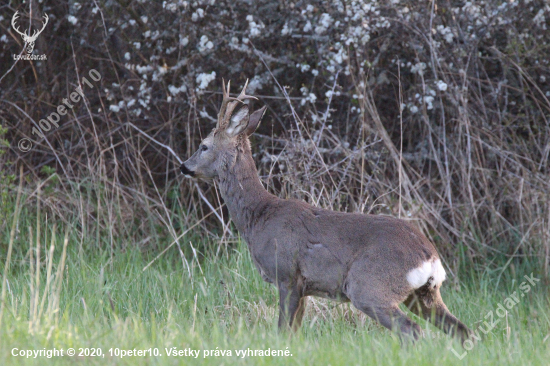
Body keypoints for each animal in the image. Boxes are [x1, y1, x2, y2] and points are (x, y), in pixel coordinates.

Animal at [182, 80, 474, 344]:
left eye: (204, 145)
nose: (185, 166)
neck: (259, 216)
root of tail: (429, 256)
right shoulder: (304, 287)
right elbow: (294, 333)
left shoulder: (287, 274)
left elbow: (282, 331)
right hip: (423, 294)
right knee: (462, 330)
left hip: (369, 285)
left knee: (411, 330)